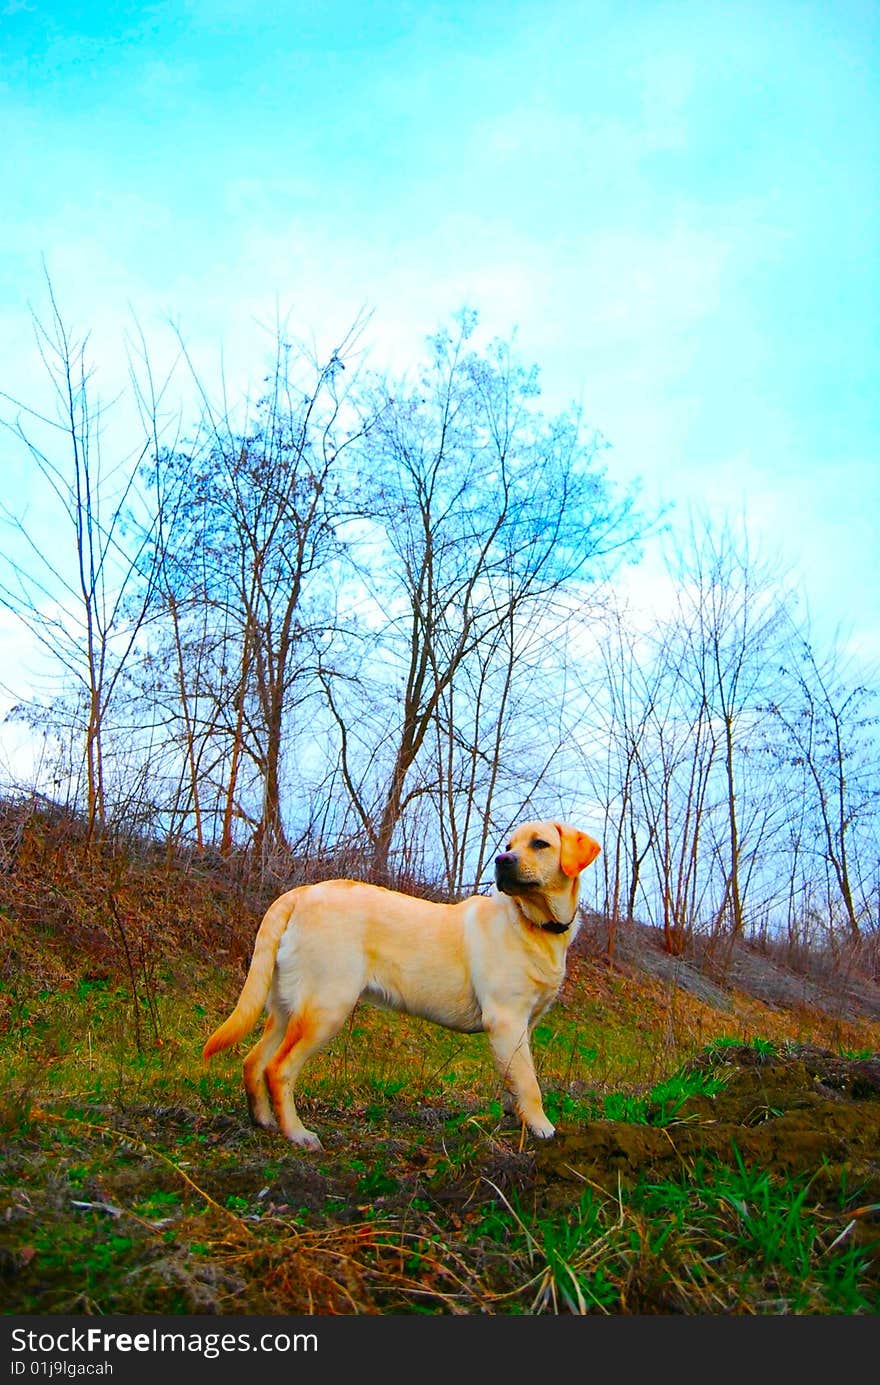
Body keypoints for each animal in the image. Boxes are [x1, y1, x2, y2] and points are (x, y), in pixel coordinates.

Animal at [203, 819, 601, 1146]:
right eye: (510, 844)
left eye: (539, 844)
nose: (502, 860)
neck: (535, 925)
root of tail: (299, 893)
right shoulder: (505, 1020)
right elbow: (530, 1084)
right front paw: (542, 1127)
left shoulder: (523, 1027)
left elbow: (513, 1080)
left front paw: (513, 1121)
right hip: (325, 1008)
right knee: (278, 1069)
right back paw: (298, 1134)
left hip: (286, 1008)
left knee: (253, 1061)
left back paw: (264, 1121)